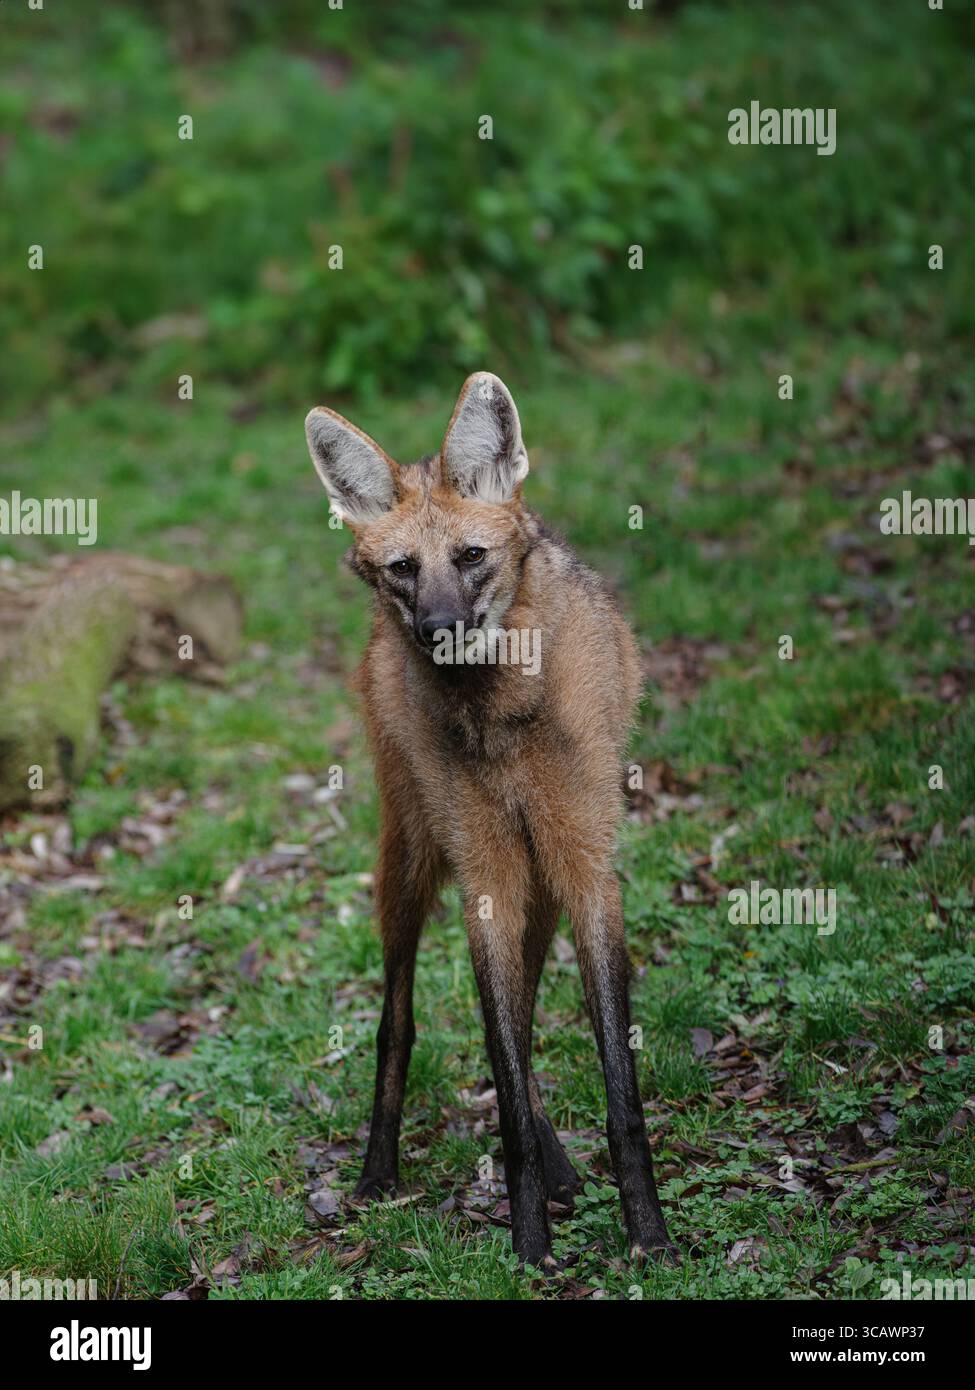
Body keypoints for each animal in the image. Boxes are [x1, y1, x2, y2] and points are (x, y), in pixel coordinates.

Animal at [305, 372, 674, 1266]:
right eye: (402, 568)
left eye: (471, 556)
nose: (436, 630)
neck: (500, 715)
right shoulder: (486, 875)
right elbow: (497, 1066)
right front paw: (530, 1245)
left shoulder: (582, 862)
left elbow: (611, 1078)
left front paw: (647, 1235)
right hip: (413, 852)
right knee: (398, 1016)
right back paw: (376, 1174)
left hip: (535, 875)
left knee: (525, 1008)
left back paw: (563, 1169)